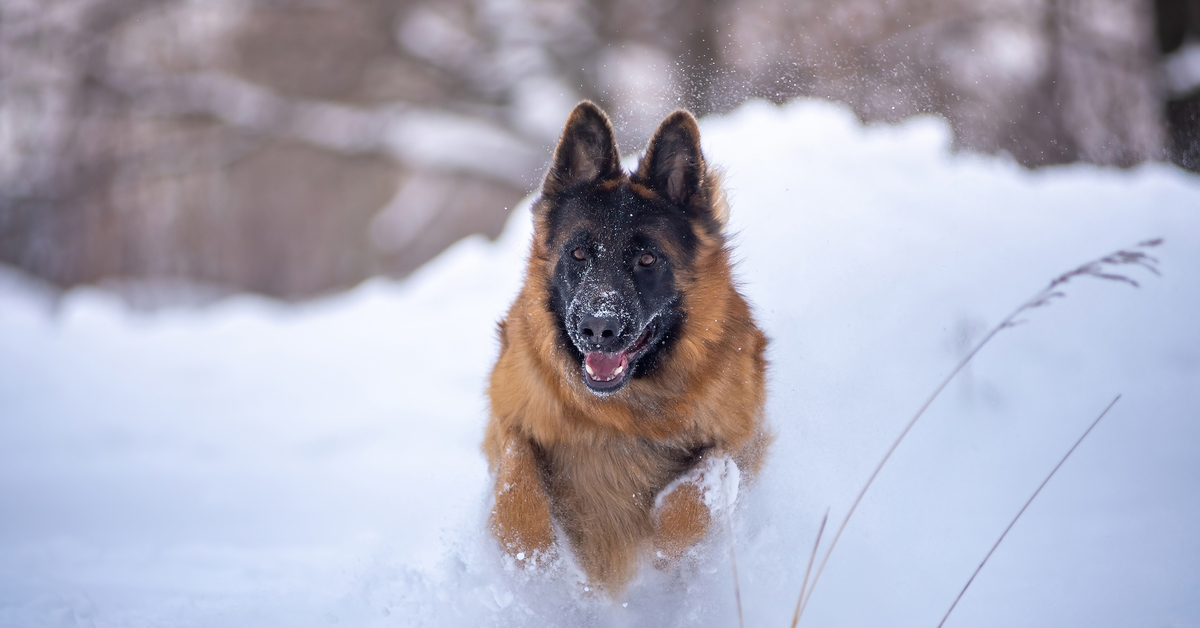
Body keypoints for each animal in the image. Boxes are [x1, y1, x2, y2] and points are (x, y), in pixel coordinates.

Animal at [480, 103, 768, 595]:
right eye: (578, 254)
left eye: (647, 259)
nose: (598, 328)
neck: (620, 413)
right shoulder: (508, 412)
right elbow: (519, 484)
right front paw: (532, 560)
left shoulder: (739, 441)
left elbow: (692, 498)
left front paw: (667, 553)